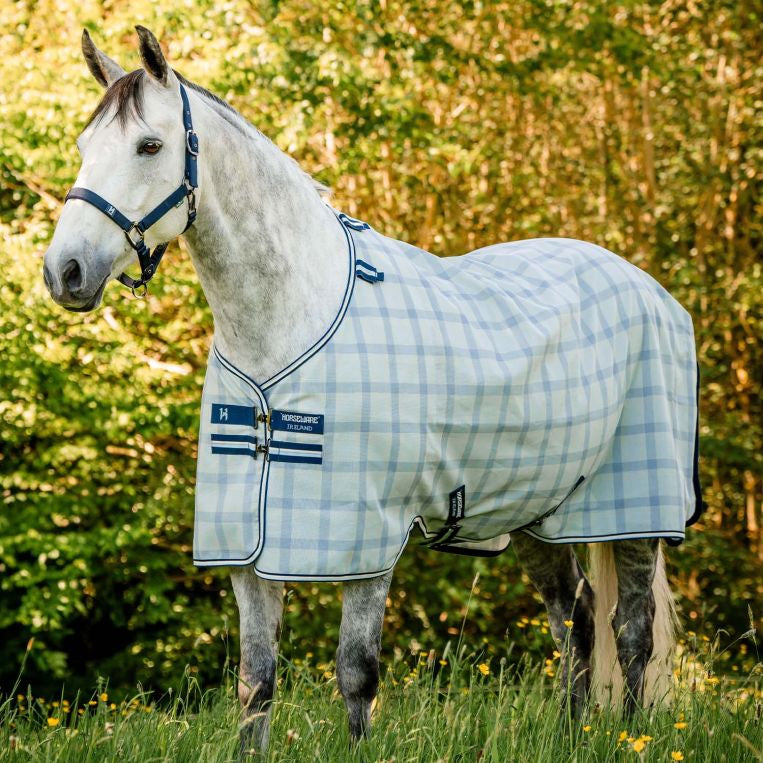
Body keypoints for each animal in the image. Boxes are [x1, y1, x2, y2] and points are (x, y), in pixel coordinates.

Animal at [43, 27, 701, 757]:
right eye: (85, 146)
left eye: (149, 146)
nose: (64, 271)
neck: (288, 322)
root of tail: (647, 287)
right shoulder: (248, 550)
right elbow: (255, 682)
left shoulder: (367, 541)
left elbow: (356, 675)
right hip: (537, 507)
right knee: (576, 617)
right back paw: (570, 734)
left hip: (635, 511)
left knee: (631, 629)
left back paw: (632, 734)